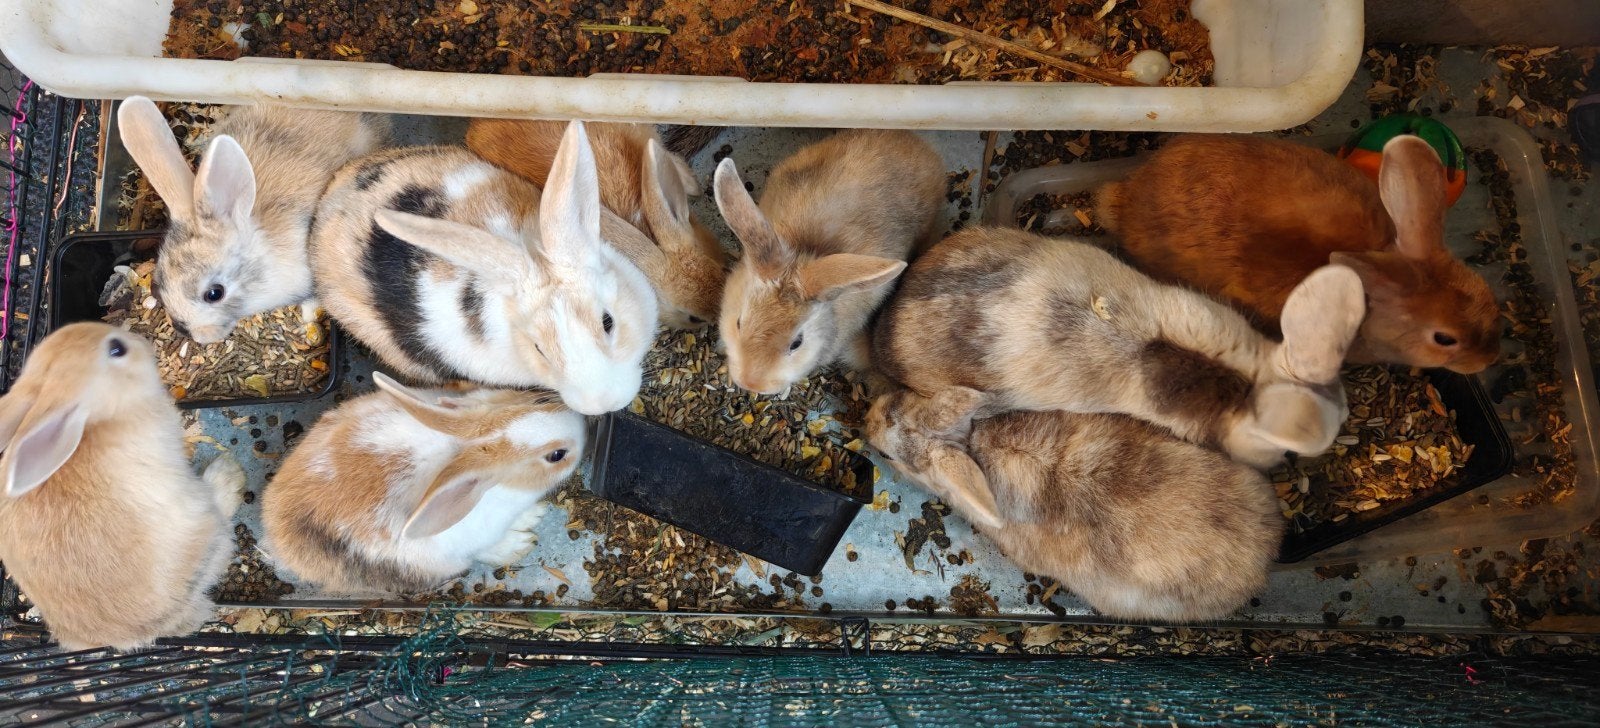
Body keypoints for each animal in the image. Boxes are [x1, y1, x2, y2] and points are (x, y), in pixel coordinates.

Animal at [260, 373, 584, 593]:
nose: (584, 427)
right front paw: (519, 543)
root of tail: (278, 541)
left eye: (541, 399)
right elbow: (485, 550)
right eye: (557, 455)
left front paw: (533, 515)